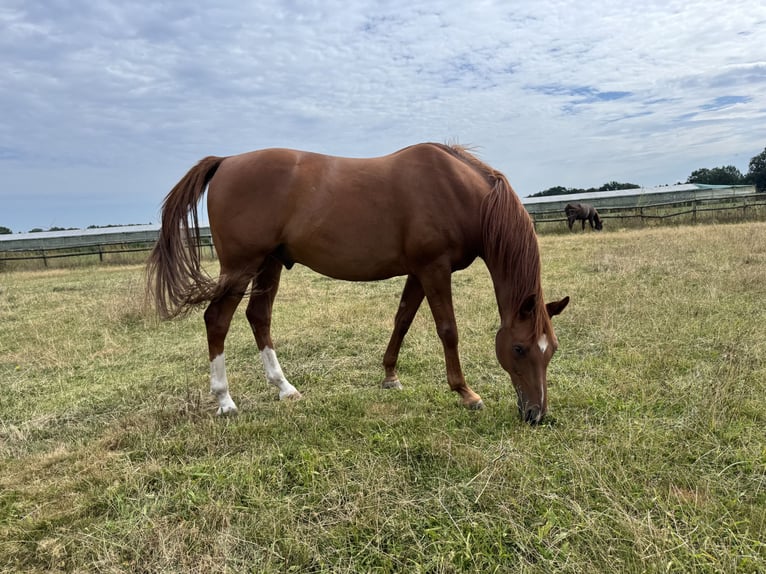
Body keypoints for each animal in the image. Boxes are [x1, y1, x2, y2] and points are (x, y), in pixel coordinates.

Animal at [147, 143, 569, 424]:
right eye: (518, 348)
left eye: (551, 351)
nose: (536, 414)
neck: (459, 191)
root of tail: (226, 162)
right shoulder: (434, 269)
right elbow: (448, 330)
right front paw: (466, 393)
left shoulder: (418, 272)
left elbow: (402, 320)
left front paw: (390, 376)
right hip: (241, 266)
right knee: (217, 319)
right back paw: (225, 401)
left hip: (269, 264)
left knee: (258, 317)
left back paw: (285, 388)